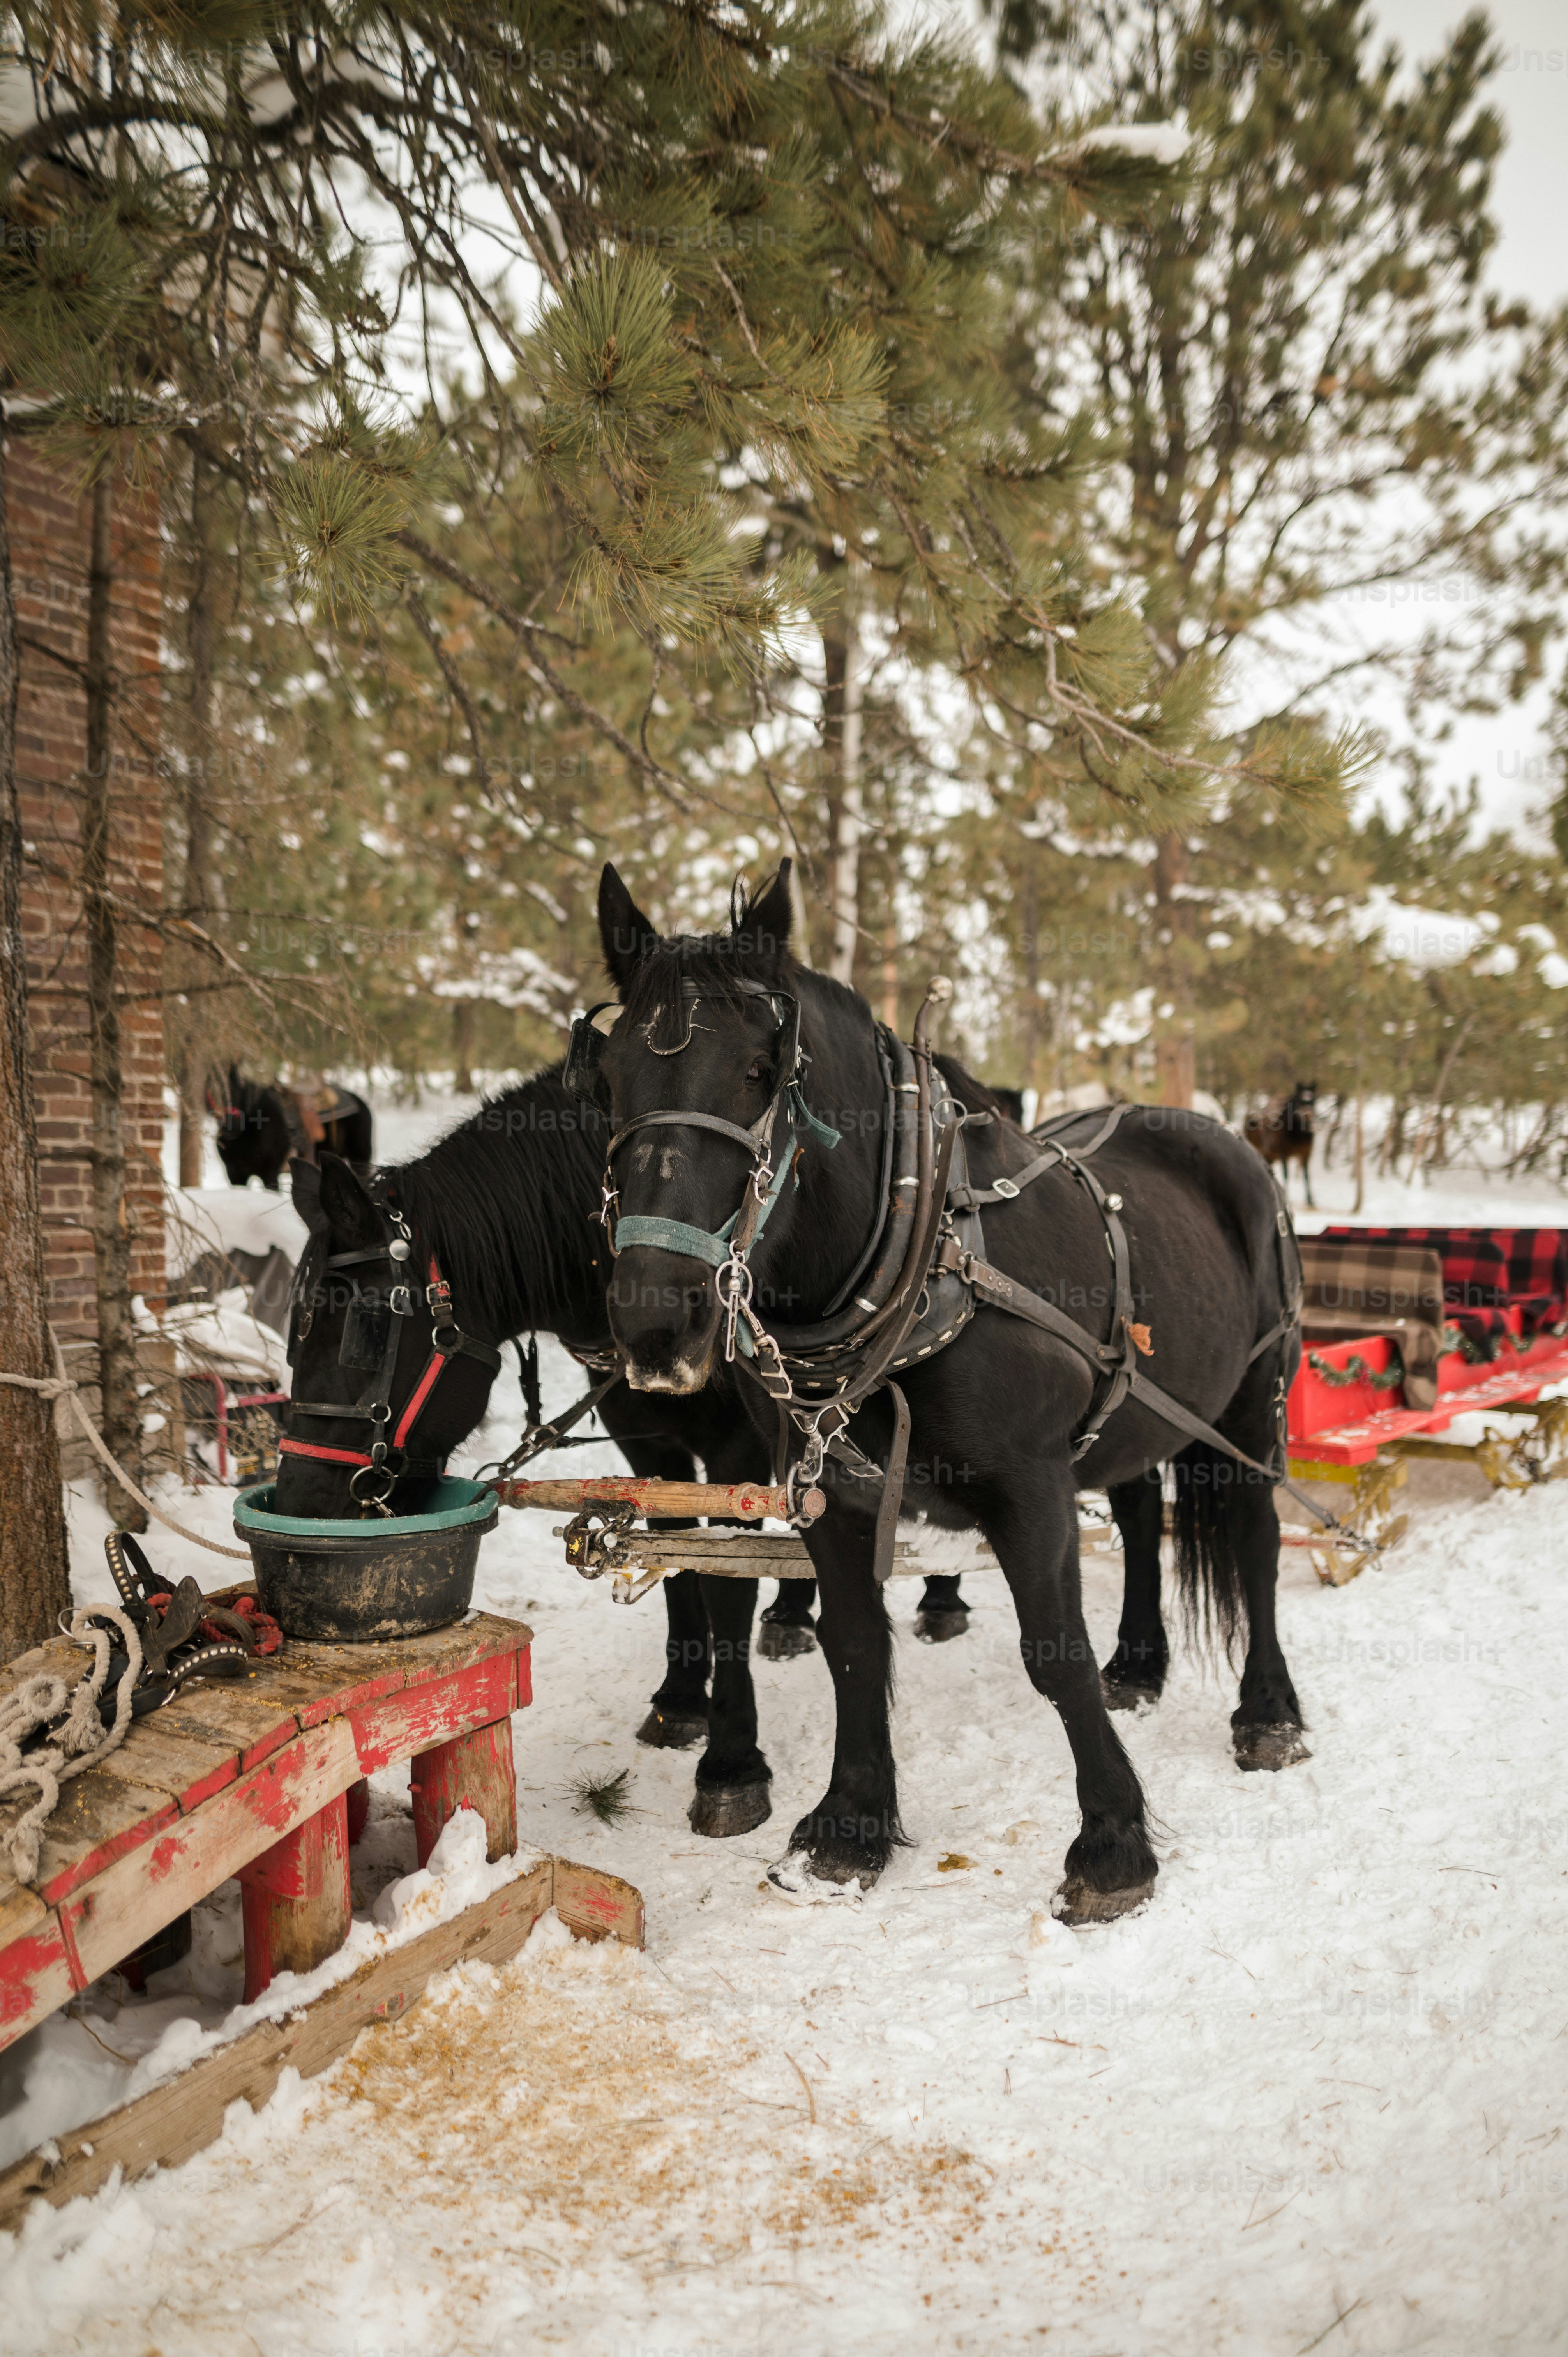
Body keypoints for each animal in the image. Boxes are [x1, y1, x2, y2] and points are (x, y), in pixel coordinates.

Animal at [211, 1066, 374, 1189]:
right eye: (211, 1090)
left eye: (240, 1089)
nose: (232, 1125)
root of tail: (360, 1102)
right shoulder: (236, 1176)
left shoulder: (270, 1175)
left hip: (360, 1159)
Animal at [585, 861, 1309, 1923]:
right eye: (605, 1083)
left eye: (759, 1071)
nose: (651, 1324)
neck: (918, 1251)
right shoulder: (829, 1493)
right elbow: (851, 1644)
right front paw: (847, 1826)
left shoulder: (1030, 1486)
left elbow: (1050, 1651)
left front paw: (1111, 1844)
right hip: (1135, 1408)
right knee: (1141, 1517)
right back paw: (1136, 1664)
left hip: (1250, 1401)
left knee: (1254, 1541)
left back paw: (1266, 1712)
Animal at [1244, 1081, 1317, 1205]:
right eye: (1299, 1101)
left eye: (1314, 1101)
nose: (1308, 1117)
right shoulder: (1284, 1154)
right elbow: (1286, 1174)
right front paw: (1286, 1196)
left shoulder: (1306, 1154)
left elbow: (1307, 1175)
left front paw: (1311, 1200)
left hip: (1271, 1157)